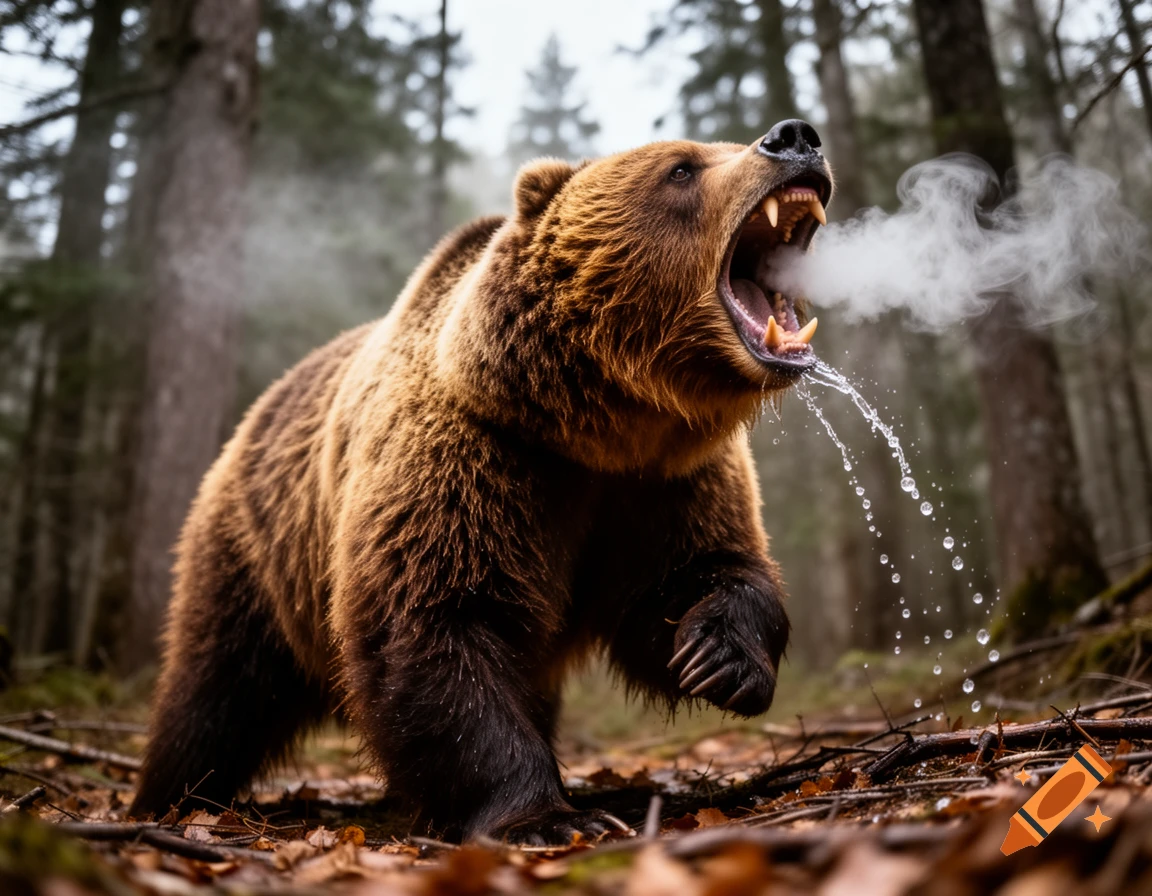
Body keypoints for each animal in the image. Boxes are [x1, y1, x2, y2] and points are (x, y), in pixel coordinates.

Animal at [128, 119, 833, 845]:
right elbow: (439, 623)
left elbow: (699, 573)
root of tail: (251, 417)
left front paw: (718, 657)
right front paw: (544, 816)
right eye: (682, 168)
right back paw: (171, 798)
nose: (793, 137)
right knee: (214, 690)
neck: (594, 424)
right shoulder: (476, 457)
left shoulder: (663, 479)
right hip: (257, 551)